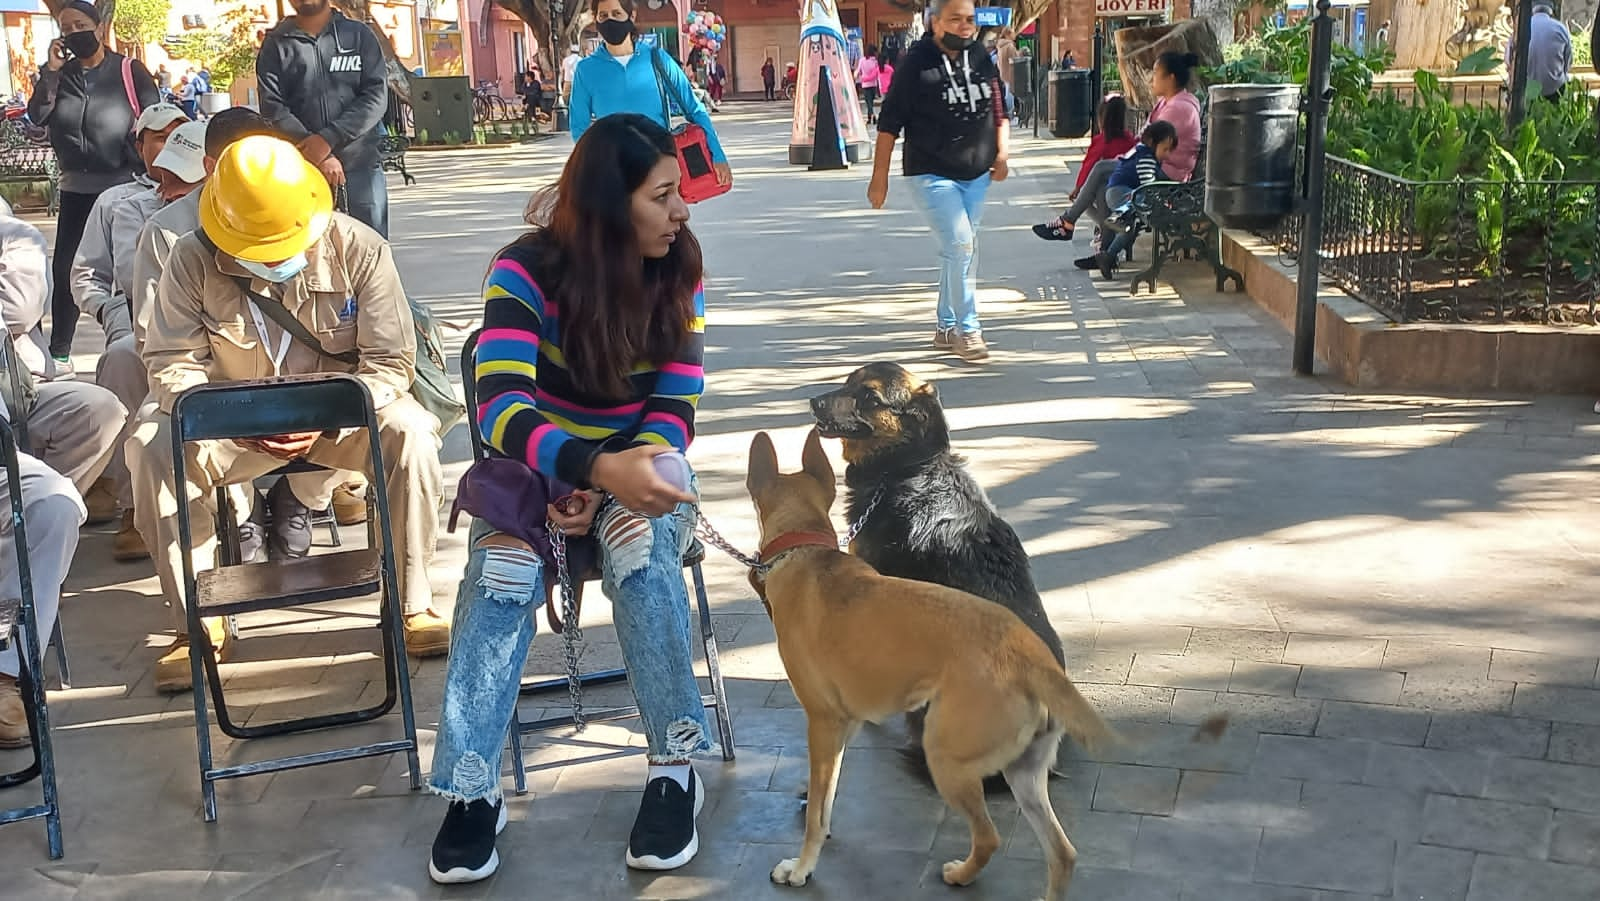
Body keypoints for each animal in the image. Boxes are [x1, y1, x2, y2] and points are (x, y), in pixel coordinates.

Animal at [745, 432, 1113, 901]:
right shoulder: (845, 723)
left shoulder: (823, 722)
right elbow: (825, 796)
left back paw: (961, 875)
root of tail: (1033, 659)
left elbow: (816, 818)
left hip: (946, 758)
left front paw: (801, 867)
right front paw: (815, 802)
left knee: (989, 836)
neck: (805, 553)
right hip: (1024, 772)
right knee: (1062, 853)